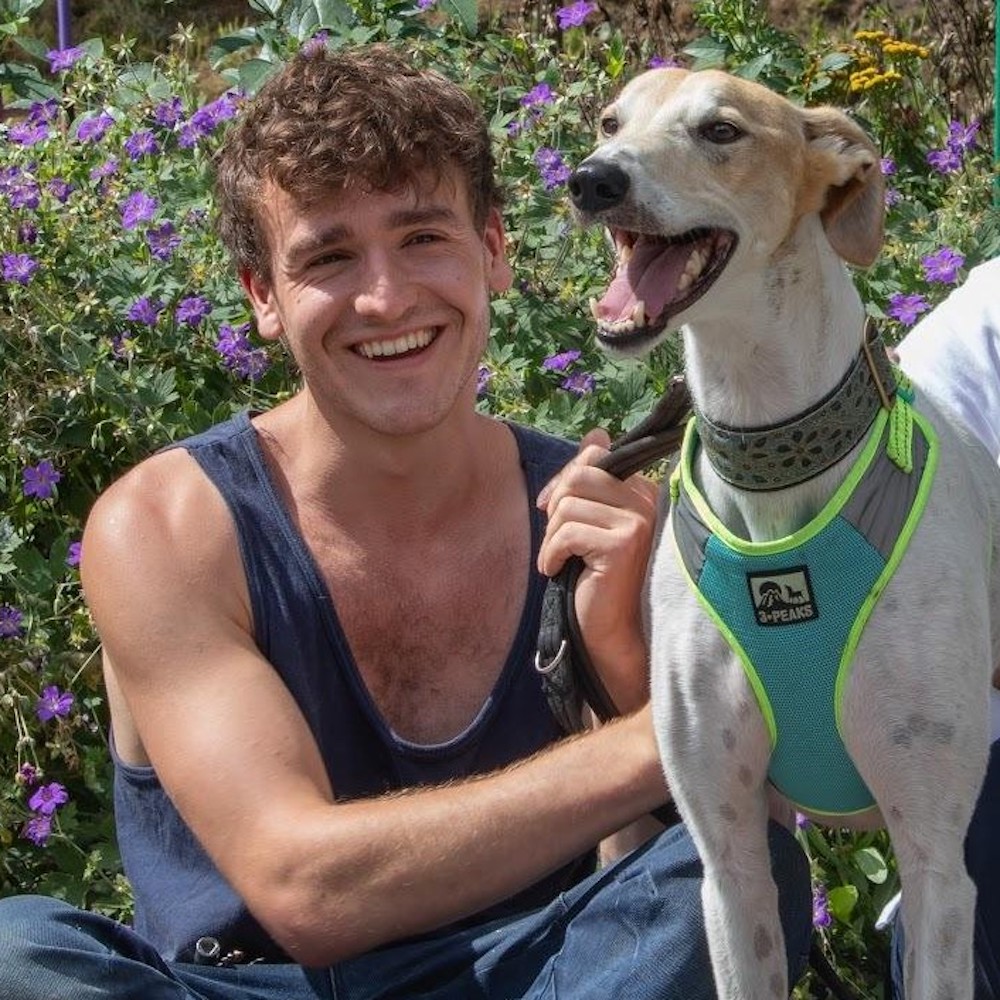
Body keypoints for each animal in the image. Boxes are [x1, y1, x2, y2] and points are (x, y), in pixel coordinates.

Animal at [572, 66, 1000, 996]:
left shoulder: (936, 869)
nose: (591, 181)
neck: (777, 469)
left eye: (721, 131)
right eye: (610, 121)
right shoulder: (731, 865)